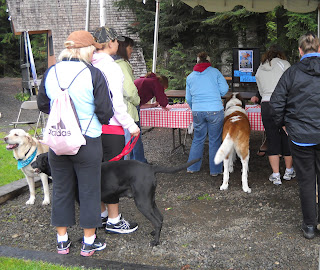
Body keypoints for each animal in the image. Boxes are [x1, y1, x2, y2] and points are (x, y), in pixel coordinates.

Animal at [30, 153, 200, 246]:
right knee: (160, 218)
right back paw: (154, 233)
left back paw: (156, 242)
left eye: (38, 158)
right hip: (149, 200)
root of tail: (151, 167)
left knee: (157, 220)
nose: (30, 163)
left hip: (142, 202)